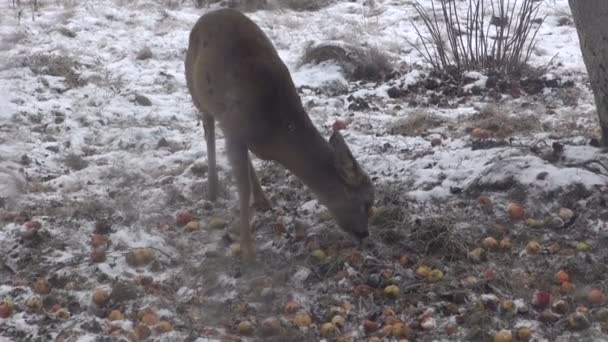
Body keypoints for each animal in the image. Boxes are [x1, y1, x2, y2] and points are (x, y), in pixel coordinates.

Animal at [185, 8, 376, 260]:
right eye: (365, 201)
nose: (364, 234)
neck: (276, 132)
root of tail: (208, 15)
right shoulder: (234, 129)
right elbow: (242, 188)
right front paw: (247, 249)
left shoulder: (239, 134)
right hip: (195, 88)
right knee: (208, 129)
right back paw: (213, 189)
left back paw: (262, 199)